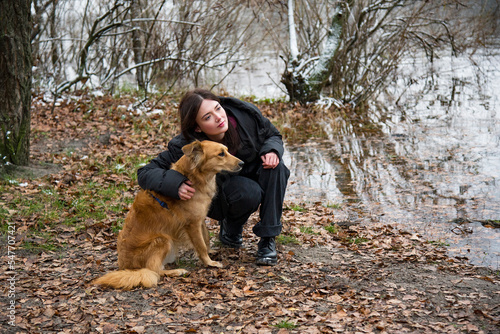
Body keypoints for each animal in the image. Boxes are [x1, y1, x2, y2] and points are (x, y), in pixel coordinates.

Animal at [94, 140, 244, 288]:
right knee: (154, 270)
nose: (242, 163)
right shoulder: (192, 224)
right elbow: (200, 244)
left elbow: (205, 237)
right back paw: (177, 271)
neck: (193, 177)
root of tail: (126, 267)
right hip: (162, 239)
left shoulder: (200, 219)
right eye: (221, 154)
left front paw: (210, 251)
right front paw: (209, 262)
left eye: (227, 150)